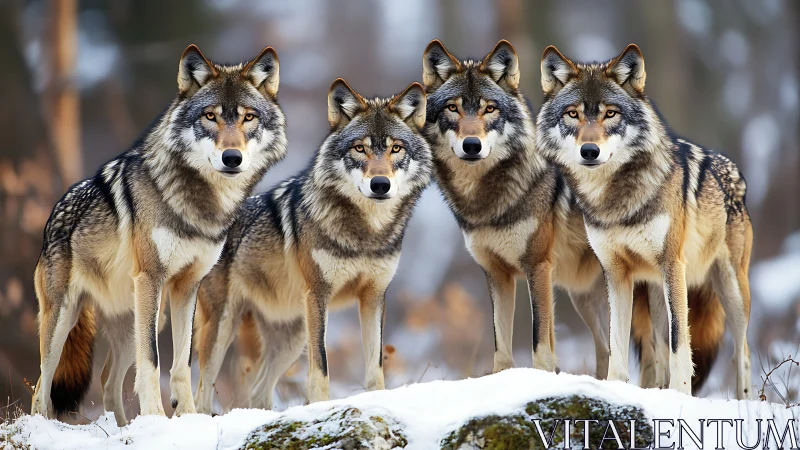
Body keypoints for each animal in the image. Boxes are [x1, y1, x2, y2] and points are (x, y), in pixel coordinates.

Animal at [31, 44, 287, 426]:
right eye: (210, 116)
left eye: (248, 118)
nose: (232, 158)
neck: (200, 207)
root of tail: (53, 216)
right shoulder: (151, 278)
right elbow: (151, 360)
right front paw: (155, 416)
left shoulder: (187, 286)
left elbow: (182, 363)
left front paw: (188, 417)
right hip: (64, 319)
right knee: (41, 385)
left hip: (139, 319)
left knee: (107, 381)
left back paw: (125, 427)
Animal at [193, 79, 431, 412]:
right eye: (360, 148)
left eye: (396, 148)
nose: (380, 185)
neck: (366, 234)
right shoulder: (319, 295)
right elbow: (321, 365)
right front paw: (320, 406)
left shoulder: (374, 297)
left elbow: (375, 367)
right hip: (224, 327)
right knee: (202, 391)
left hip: (290, 338)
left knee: (257, 392)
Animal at [421, 39, 610, 376]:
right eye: (453, 108)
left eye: (490, 108)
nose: (472, 145)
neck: (485, 203)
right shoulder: (497, 275)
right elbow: (501, 348)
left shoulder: (538, 266)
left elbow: (540, 342)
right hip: (585, 299)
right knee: (610, 351)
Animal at [536, 43, 753, 398]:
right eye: (573, 114)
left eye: (611, 114)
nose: (589, 151)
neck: (615, 202)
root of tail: (734, 170)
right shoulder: (615, 272)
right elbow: (617, 342)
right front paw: (614, 387)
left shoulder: (672, 264)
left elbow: (681, 342)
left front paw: (681, 394)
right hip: (654, 292)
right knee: (659, 347)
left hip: (729, 288)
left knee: (742, 351)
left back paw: (745, 401)